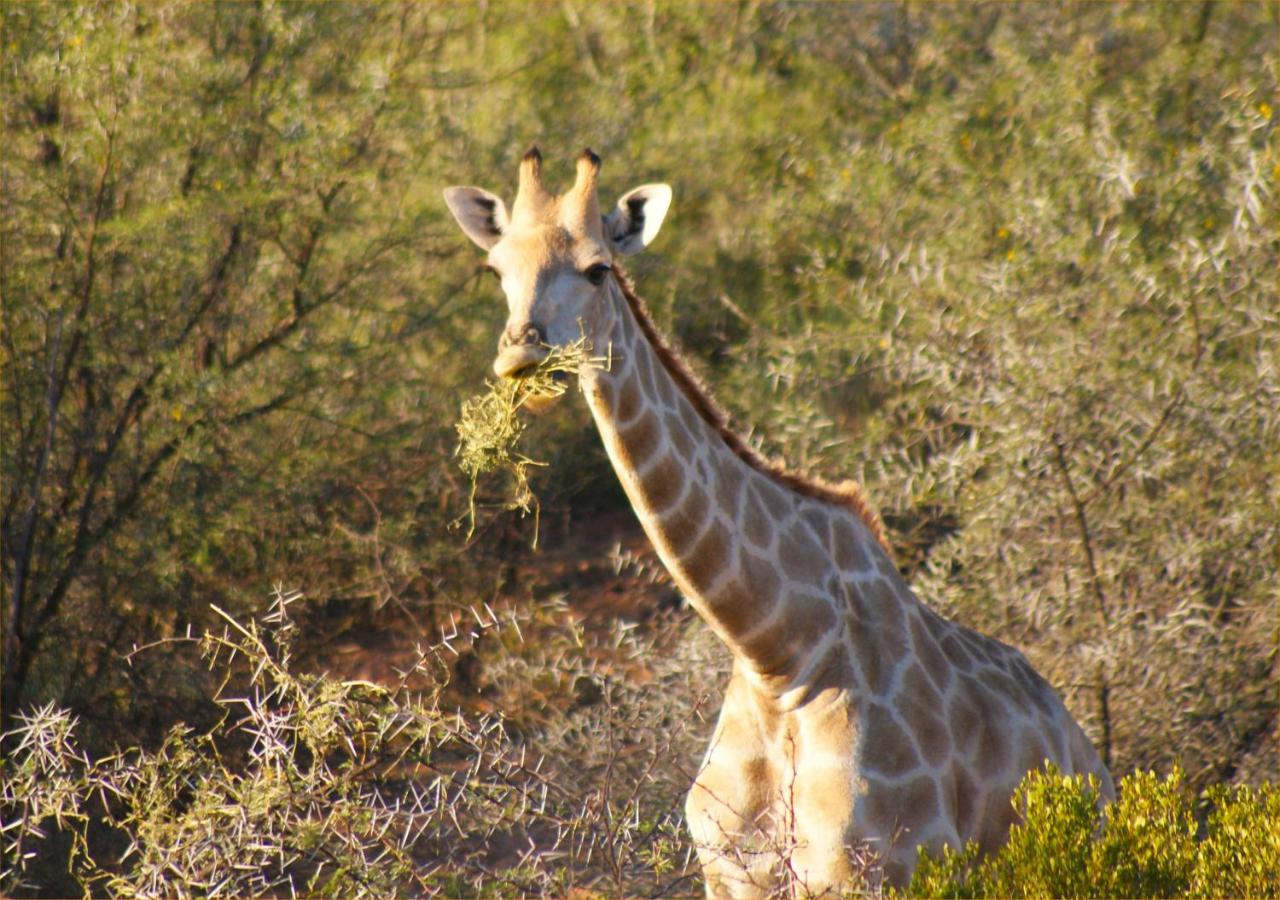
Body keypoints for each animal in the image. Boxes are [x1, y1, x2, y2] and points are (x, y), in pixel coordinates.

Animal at [445, 147, 1116, 896]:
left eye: (599, 268)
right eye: (495, 269)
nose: (520, 355)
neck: (779, 654)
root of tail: (1096, 765)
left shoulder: (882, 870)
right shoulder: (731, 872)